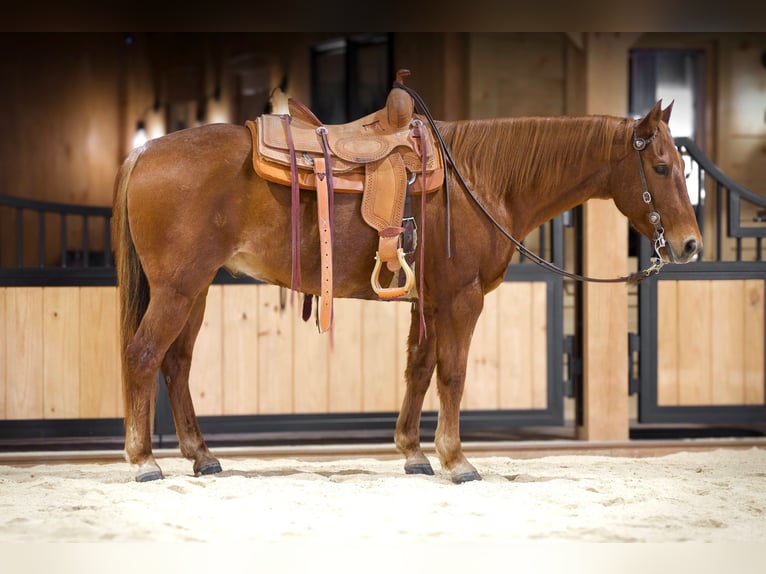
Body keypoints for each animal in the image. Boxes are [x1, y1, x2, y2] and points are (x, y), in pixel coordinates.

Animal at [113, 97, 702, 483]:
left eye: (680, 165)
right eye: (661, 166)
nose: (691, 245)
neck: (480, 181)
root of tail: (144, 153)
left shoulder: (432, 302)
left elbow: (419, 370)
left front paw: (414, 453)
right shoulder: (463, 299)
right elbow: (453, 374)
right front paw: (456, 460)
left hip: (195, 291)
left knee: (176, 364)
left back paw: (201, 454)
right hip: (178, 289)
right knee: (143, 355)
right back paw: (144, 460)